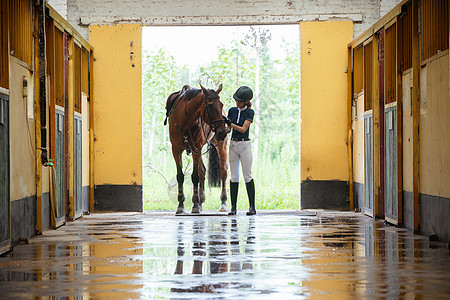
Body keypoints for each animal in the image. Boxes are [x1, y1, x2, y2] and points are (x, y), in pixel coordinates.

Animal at [165, 84, 229, 213]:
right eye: (210, 105)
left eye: (221, 104)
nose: (222, 132)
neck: (184, 121)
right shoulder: (176, 150)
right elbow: (180, 176)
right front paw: (181, 204)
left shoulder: (196, 149)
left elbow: (195, 176)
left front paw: (194, 203)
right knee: (202, 170)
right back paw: (201, 200)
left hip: (220, 146)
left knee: (223, 171)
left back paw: (223, 202)